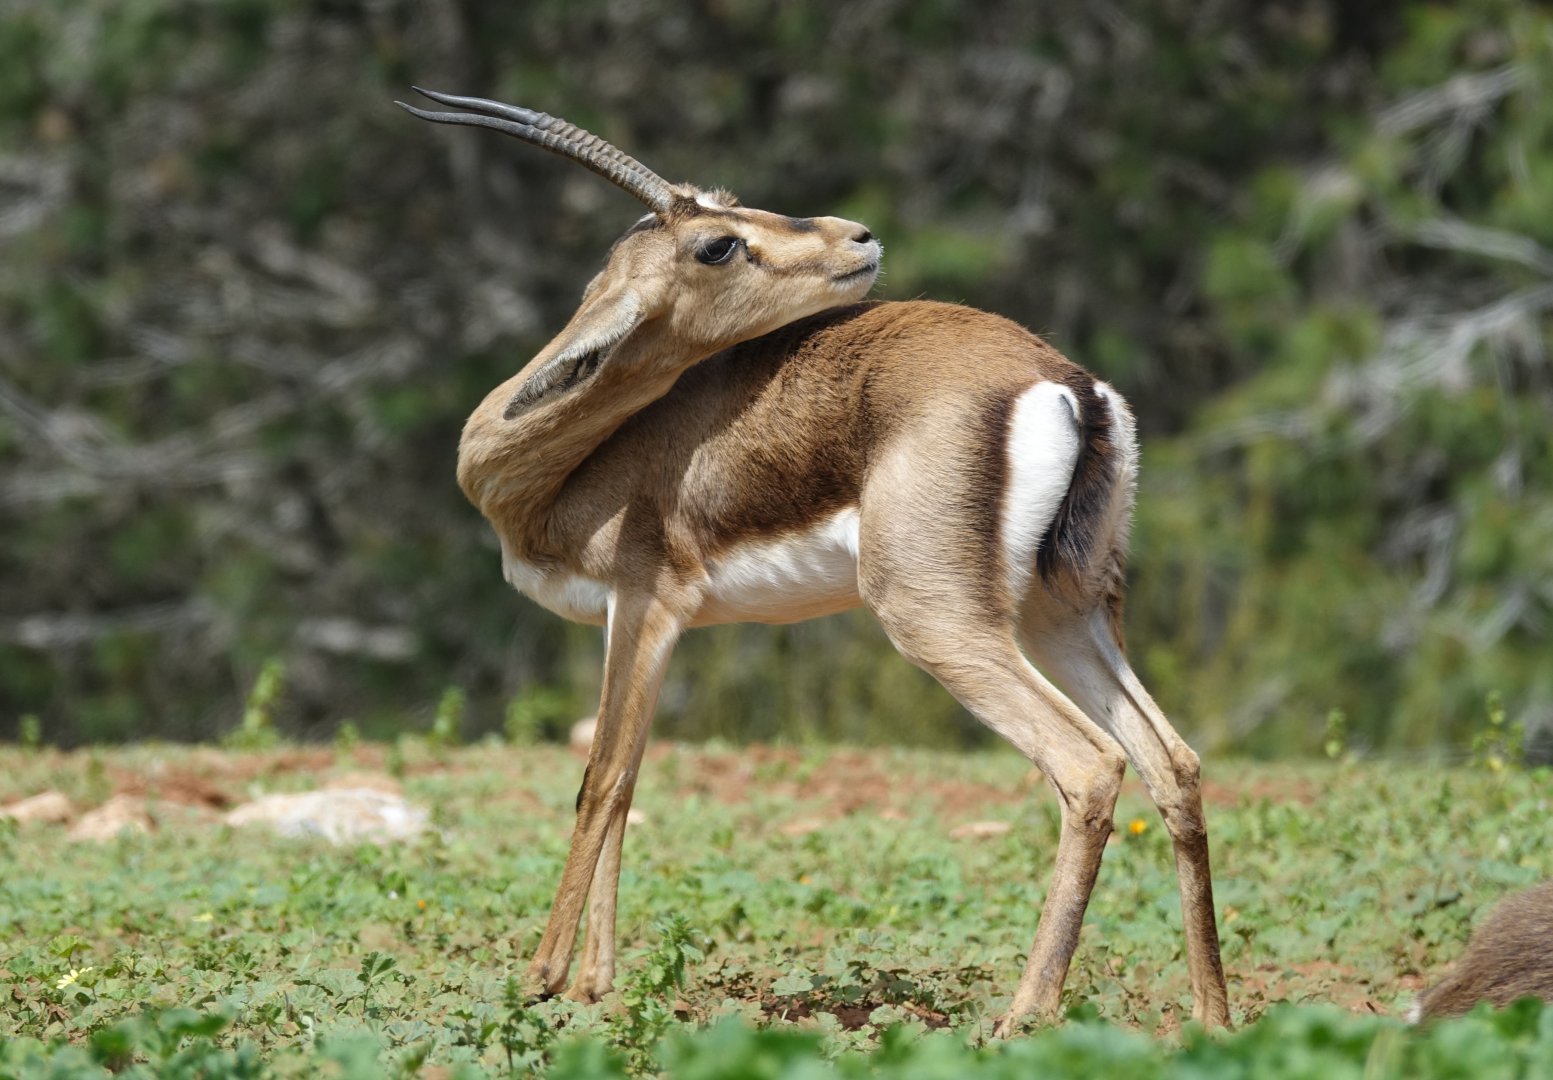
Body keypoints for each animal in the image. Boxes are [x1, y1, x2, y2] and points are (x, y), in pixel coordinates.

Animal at [398, 87, 1229, 1033]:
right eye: (717, 234)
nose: (857, 236)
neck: (575, 466)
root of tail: (1067, 384)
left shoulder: (645, 602)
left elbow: (598, 778)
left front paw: (542, 980)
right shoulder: (642, 622)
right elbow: (630, 778)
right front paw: (595, 987)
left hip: (938, 621)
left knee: (1088, 765)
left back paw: (1023, 1017)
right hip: (1065, 614)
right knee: (1172, 763)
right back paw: (1211, 1016)